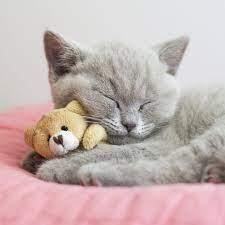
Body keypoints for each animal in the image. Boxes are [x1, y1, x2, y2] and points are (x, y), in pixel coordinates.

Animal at [22, 31, 225, 186]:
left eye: (146, 103)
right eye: (109, 98)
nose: (130, 124)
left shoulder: (165, 143)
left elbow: (114, 151)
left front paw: (56, 163)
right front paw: (34, 157)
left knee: (176, 169)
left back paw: (91, 174)